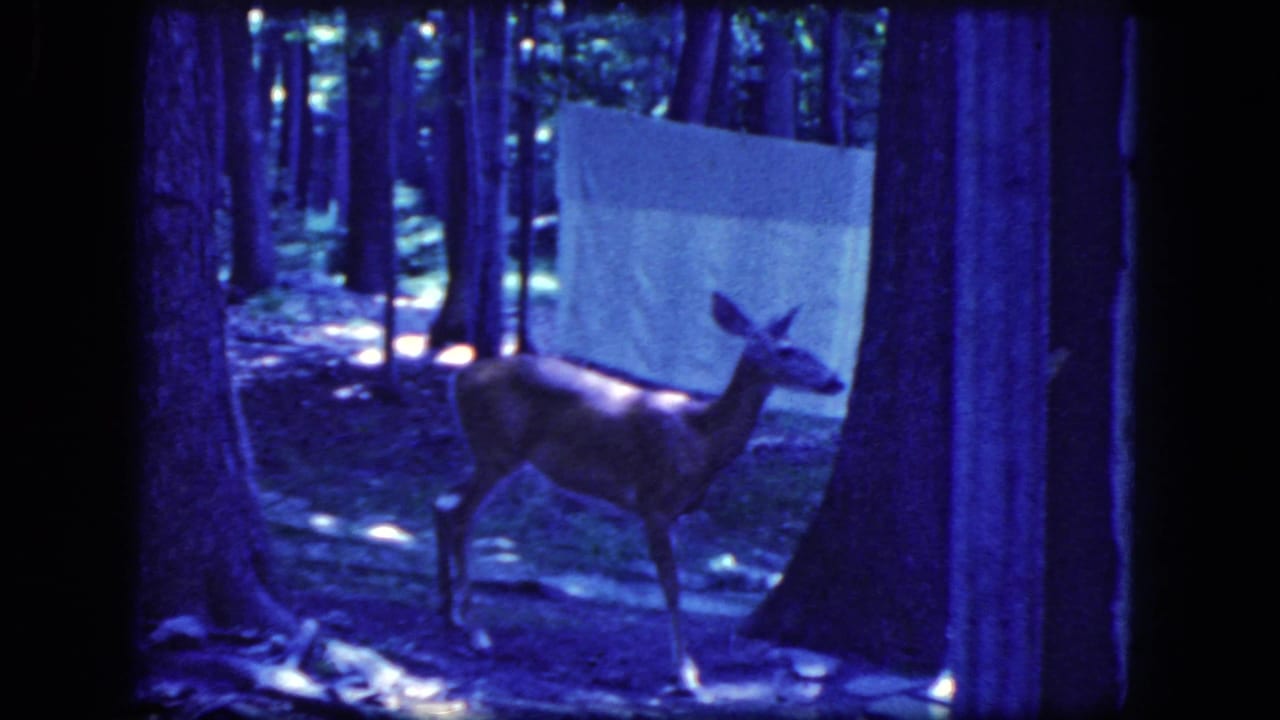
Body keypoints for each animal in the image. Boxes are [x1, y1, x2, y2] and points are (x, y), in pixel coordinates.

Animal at [433, 291, 845, 693]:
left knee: (444, 502)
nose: (836, 380)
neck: (703, 438)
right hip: (497, 450)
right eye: (787, 351)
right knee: (460, 514)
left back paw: (451, 612)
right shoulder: (654, 503)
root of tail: (458, 378)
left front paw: (685, 669)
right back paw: (476, 630)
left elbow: (674, 582)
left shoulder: (677, 513)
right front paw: (685, 674)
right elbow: (672, 586)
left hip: (495, 456)